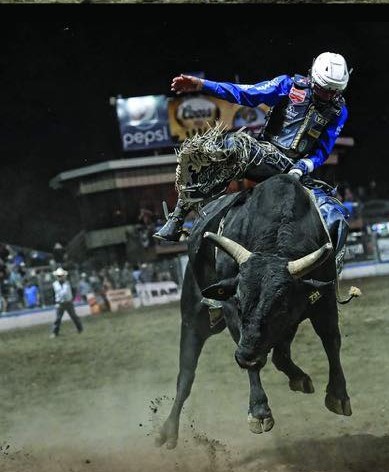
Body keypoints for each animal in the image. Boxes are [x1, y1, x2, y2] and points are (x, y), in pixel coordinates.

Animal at [155, 174, 352, 450]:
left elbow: (331, 339)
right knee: (185, 376)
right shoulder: (232, 313)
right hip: (195, 317)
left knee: (280, 354)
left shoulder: (323, 299)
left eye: (281, 305)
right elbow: (253, 356)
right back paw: (169, 431)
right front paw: (259, 411)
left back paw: (298, 377)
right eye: (238, 300)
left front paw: (338, 395)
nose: (244, 355)